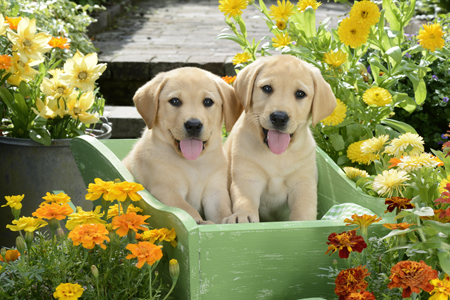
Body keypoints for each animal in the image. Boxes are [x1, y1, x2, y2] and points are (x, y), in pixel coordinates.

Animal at [123, 67, 243, 223]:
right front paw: (200, 221)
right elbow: (185, 209)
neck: (195, 163)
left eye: (208, 102)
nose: (193, 125)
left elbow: (222, 211)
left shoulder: (216, 191)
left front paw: (229, 219)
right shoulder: (166, 190)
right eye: (175, 101)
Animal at [223, 55, 336, 223]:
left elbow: (303, 208)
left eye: (300, 94)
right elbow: (245, 199)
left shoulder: (303, 182)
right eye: (267, 88)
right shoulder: (247, 177)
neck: (276, 156)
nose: (279, 117)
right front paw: (243, 216)